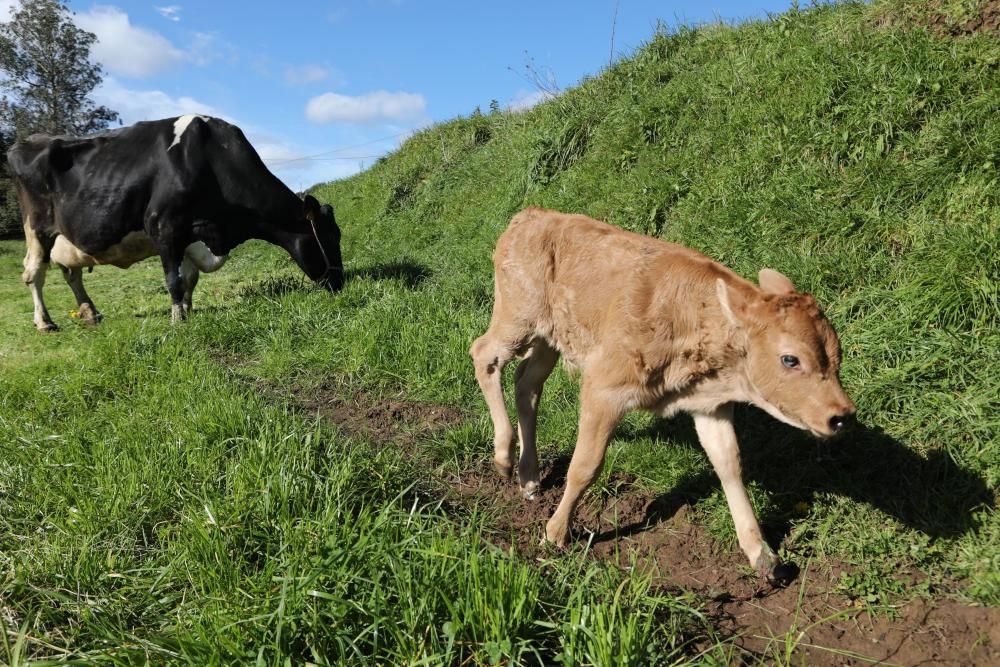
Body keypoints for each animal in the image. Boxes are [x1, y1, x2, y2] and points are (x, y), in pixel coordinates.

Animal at [6, 117, 344, 334]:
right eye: (329, 238)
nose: (340, 282)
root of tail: (28, 140)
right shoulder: (164, 226)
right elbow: (174, 280)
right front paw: (178, 319)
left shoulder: (191, 235)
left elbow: (189, 278)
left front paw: (188, 309)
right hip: (37, 228)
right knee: (34, 272)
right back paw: (45, 322)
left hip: (67, 238)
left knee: (71, 274)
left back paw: (91, 313)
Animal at [468, 207, 852, 580]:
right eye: (790, 359)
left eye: (838, 354)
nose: (842, 416)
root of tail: (530, 215)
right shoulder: (603, 389)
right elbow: (585, 466)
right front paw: (555, 534)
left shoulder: (711, 406)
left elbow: (729, 463)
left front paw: (763, 555)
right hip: (517, 317)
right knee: (484, 354)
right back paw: (503, 457)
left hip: (549, 338)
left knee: (527, 383)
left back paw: (529, 477)